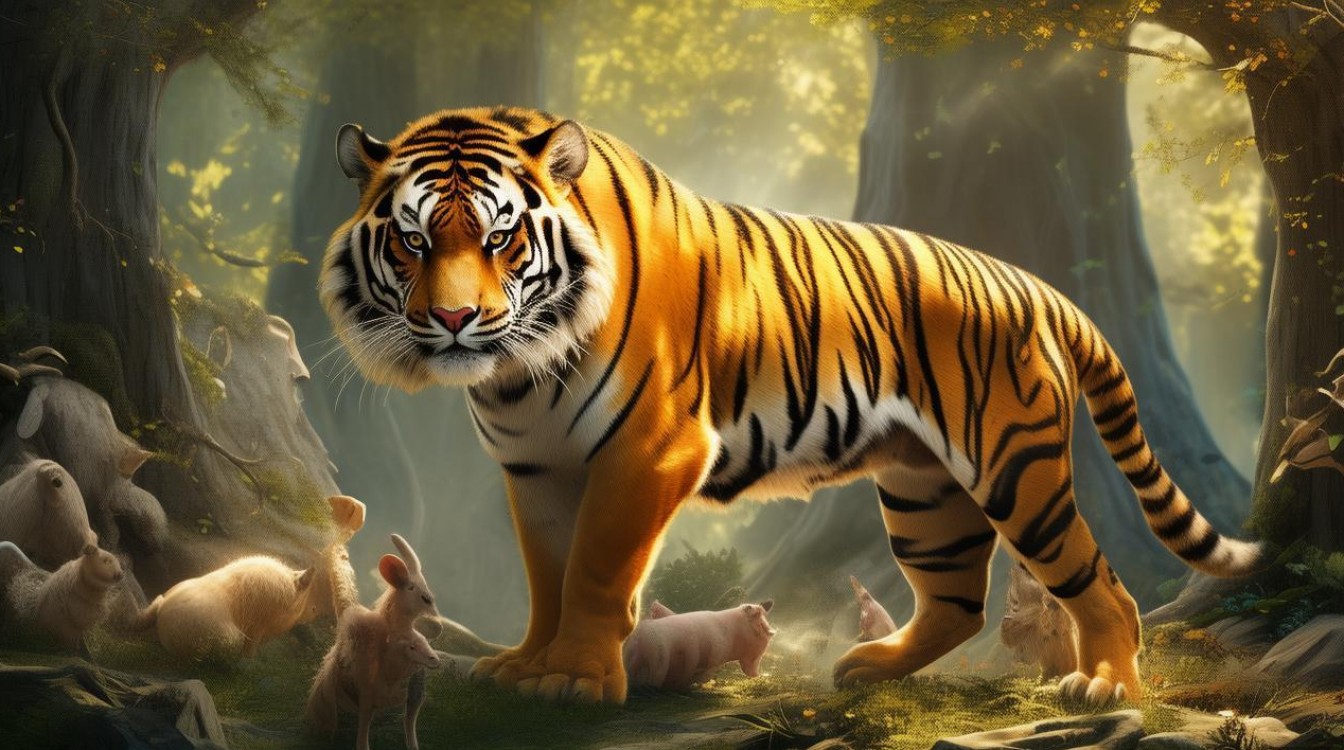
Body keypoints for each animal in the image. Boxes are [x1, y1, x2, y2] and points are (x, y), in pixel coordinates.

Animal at [319, 106, 1261, 706]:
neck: (523, 371)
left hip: (1013, 468)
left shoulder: (645, 452)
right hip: (925, 491)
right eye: (412, 240)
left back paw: (1103, 688)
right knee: (956, 600)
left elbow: (595, 570)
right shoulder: (537, 465)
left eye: (499, 236)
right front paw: (525, 665)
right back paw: (867, 668)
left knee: (1101, 586)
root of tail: (1033, 284)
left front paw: (576, 677)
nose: (454, 320)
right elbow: (548, 574)